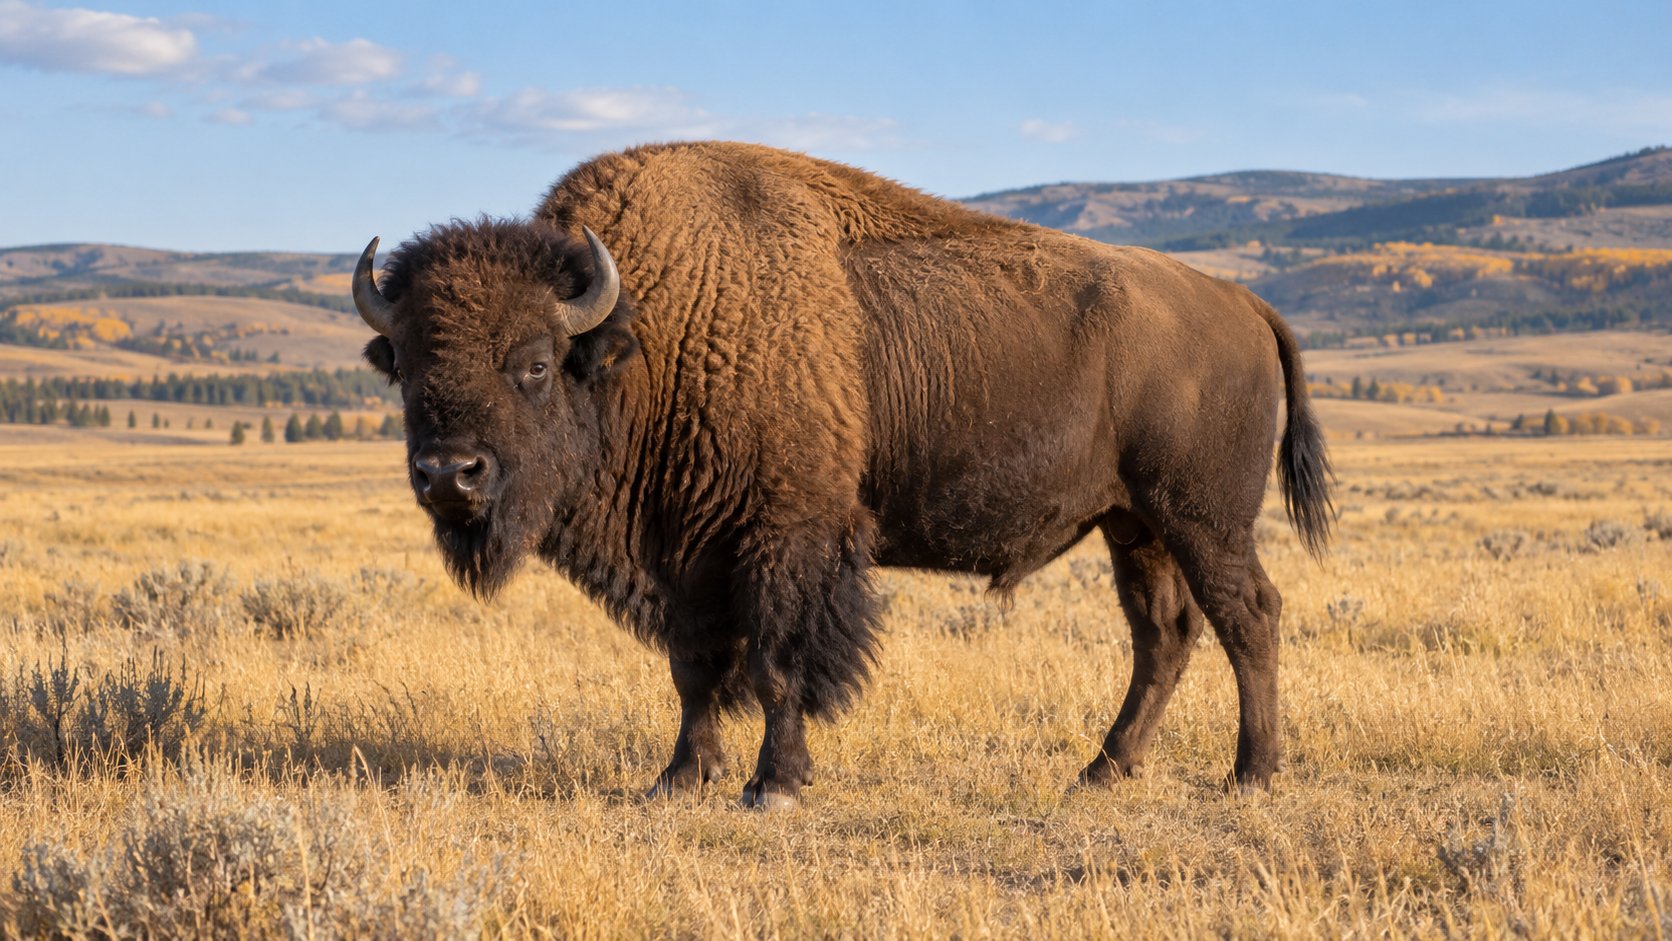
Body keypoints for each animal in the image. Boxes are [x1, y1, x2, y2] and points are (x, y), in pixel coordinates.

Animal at [354, 141, 1331, 809]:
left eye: (532, 363)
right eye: (405, 365)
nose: (449, 474)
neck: (648, 332)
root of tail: (1243, 300)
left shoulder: (786, 541)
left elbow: (781, 662)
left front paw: (773, 785)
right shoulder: (688, 556)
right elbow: (695, 667)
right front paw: (681, 777)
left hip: (1202, 517)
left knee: (1249, 615)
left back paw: (1251, 773)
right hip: (1136, 525)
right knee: (1163, 633)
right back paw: (1101, 769)